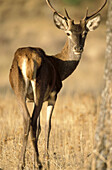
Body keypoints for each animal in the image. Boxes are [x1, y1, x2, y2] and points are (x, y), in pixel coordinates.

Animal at [8, 0, 107, 169]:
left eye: (85, 33)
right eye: (68, 32)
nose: (78, 48)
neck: (59, 66)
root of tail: (27, 58)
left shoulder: (33, 99)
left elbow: (39, 127)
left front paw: (33, 161)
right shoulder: (53, 95)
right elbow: (48, 126)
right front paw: (46, 160)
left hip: (19, 90)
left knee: (26, 120)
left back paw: (22, 163)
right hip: (40, 88)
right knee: (32, 120)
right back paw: (39, 163)